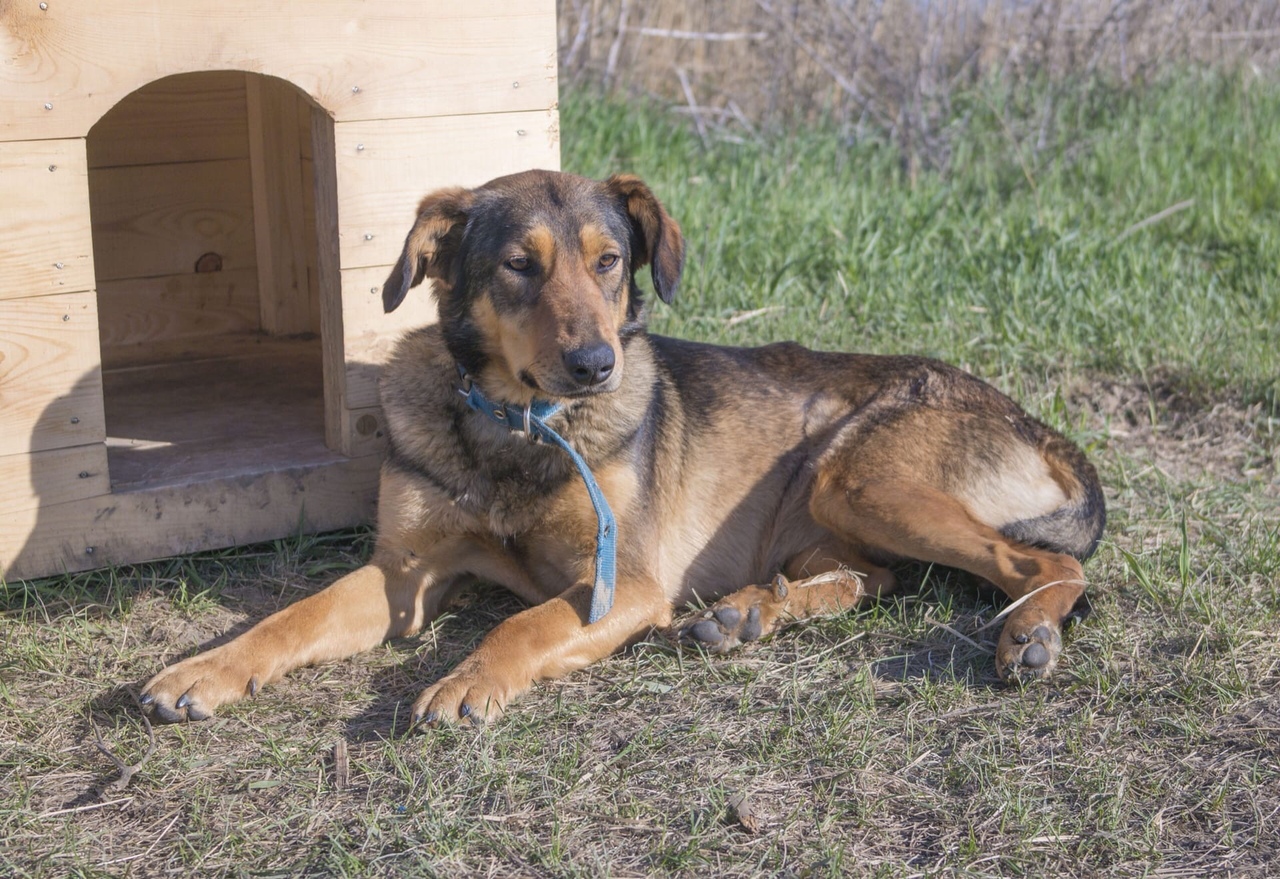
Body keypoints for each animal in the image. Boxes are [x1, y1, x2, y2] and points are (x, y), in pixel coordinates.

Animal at [137, 168, 1100, 726]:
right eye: (517, 266)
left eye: (609, 261)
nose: (597, 365)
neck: (522, 427)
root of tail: (1030, 419)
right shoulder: (404, 575)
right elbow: (290, 618)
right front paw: (205, 669)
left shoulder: (623, 584)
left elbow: (523, 621)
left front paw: (464, 682)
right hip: (829, 511)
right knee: (873, 578)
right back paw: (747, 613)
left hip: (856, 476)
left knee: (1044, 565)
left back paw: (1029, 637)